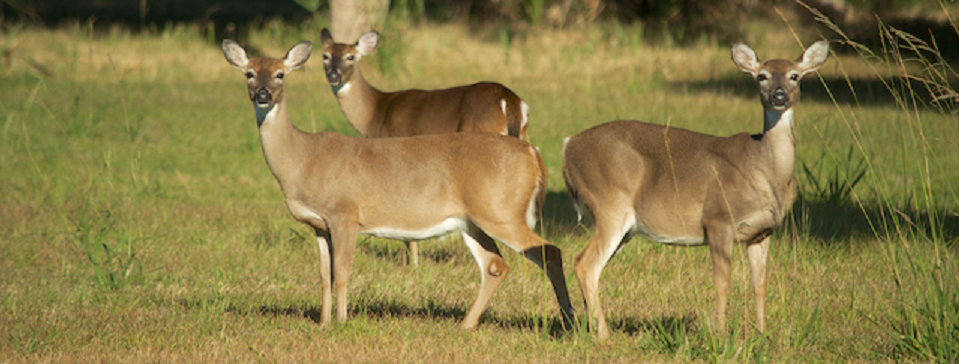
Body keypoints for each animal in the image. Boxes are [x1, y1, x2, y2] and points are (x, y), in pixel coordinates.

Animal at [320, 29, 532, 268]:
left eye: (350, 56)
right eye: (325, 56)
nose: (334, 76)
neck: (375, 113)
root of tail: (509, 100)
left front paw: (410, 264)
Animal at [568, 39, 828, 338]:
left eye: (794, 76)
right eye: (762, 76)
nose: (779, 96)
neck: (763, 169)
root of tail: (568, 146)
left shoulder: (762, 232)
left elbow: (760, 283)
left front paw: (762, 334)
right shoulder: (718, 220)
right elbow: (723, 281)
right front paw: (721, 334)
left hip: (625, 226)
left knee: (590, 266)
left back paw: (592, 328)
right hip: (610, 204)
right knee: (585, 264)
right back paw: (604, 335)